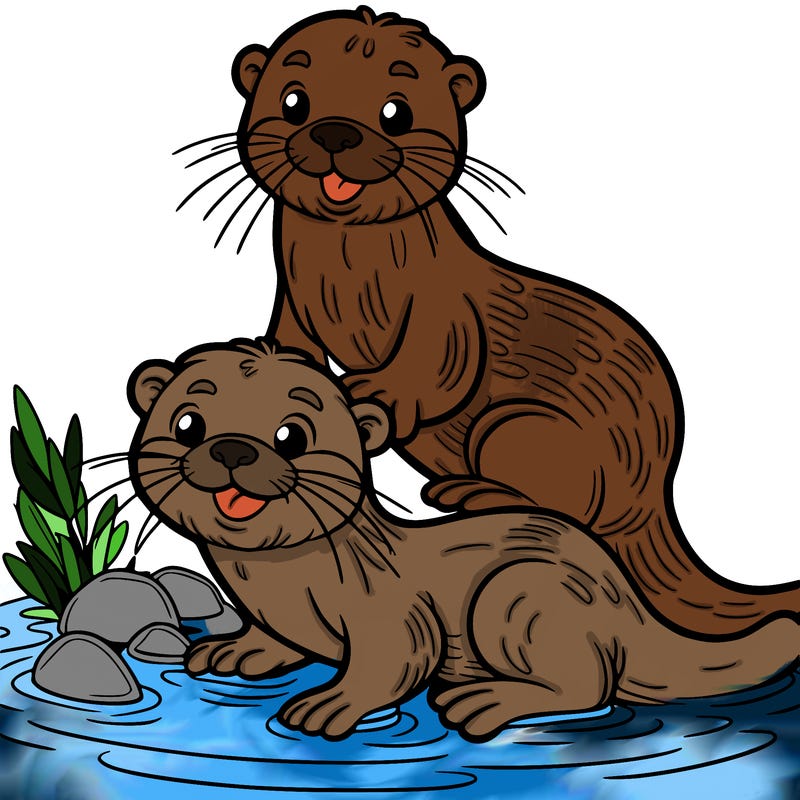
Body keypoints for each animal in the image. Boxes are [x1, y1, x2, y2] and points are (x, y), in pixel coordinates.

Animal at [128, 338, 798, 742]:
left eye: (292, 434)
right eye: (188, 422)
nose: (234, 449)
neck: (289, 584)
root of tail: (628, 604)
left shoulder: (392, 616)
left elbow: (393, 662)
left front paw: (330, 705)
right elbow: (273, 640)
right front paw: (237, 650)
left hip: (520, 596)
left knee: (587, 687)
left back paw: (482, 702)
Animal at [211, 6, 800, 636]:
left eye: (396, 111)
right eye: (294, 100)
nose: (335, 132)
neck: (349, 274)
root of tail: (654, 498)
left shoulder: (445, 309)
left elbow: (441, 368)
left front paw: (376, 396)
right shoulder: (293, 302)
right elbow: (290, 346)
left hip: (516, 428)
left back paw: (471, 494)